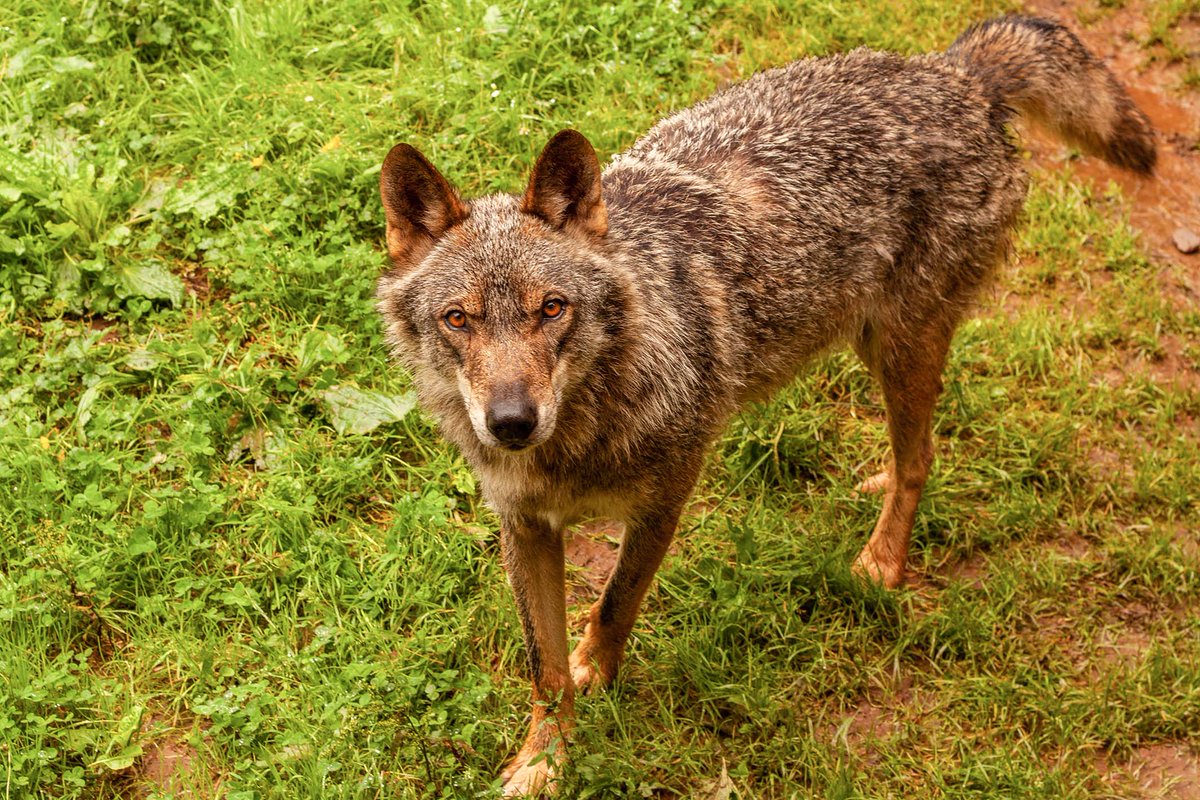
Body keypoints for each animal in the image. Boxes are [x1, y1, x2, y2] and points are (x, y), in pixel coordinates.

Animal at [374, 15, 1154, 795]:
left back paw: (880, 563)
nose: (510, 423)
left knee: (922, 456)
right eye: (458, 319)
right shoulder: (525, 525)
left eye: (551, 309)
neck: (577, 438)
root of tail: (955, 72)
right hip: (879, 348)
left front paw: (597, 676)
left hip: (900, 347)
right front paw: (542, 765)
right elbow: (545, 668)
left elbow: (615, 606)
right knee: (908, 448)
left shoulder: (666, 499)